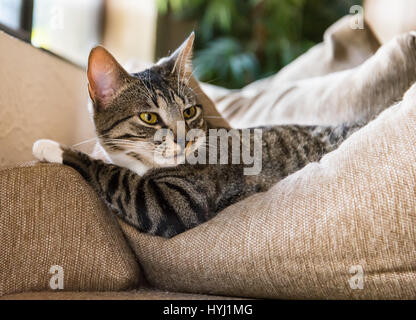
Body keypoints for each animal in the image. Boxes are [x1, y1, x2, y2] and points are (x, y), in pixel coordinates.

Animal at [32, 33, 370, 238]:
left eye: (189, 111)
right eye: (149, 117)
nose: (185, 140)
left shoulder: (172, 201)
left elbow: (116, 176)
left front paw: (52, 147)